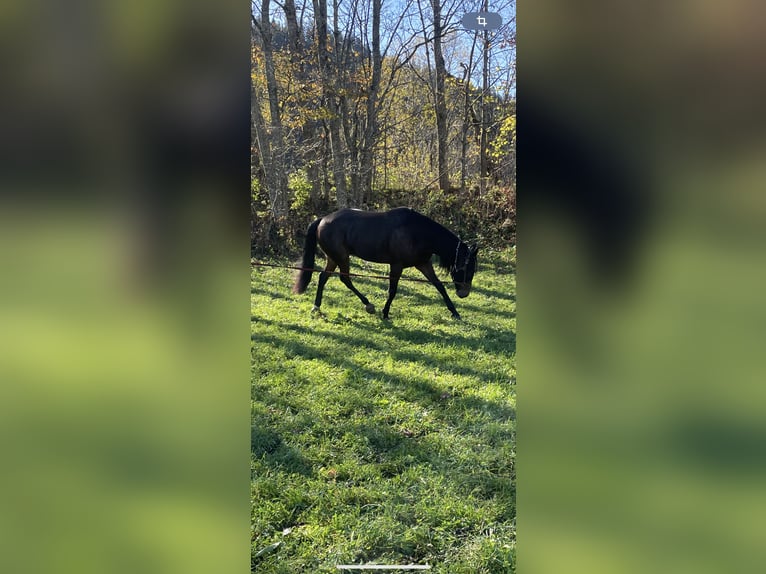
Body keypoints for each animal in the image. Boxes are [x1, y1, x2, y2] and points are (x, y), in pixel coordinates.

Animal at [292, 209, 476, 322]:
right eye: (468, 268)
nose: (464, 293)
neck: (417, 232)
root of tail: (322, 219)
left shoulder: (423, 263)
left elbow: (439, 287)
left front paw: (455, 312)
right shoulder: (397, 265)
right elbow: (392, 291)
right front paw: (385, 313)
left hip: (333, 258)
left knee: (323, 277)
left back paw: (316, 307)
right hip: (341, 257)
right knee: (345, 279)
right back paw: (368, 305)